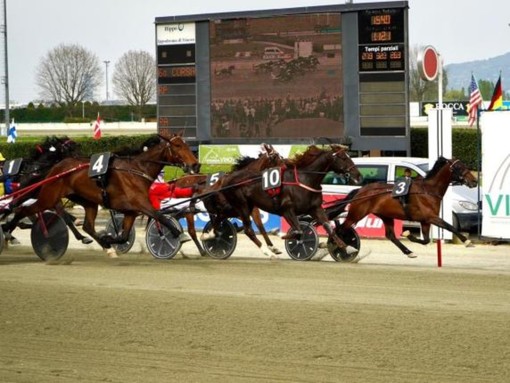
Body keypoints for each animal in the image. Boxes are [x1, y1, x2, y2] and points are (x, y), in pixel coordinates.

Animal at [6, 133, 201, 258]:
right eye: (177, 146)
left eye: (186, 145)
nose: (196, 165)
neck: (137, 170)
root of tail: (56, 168)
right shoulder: (141, 204)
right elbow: (161, 216)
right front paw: (178, 234)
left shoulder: (131, 211)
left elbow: (123, 235)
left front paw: (109, 239)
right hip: (49, 197)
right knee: (23, 210)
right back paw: (8, 229)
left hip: (87, 201)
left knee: (87, 226)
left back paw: (105, 246)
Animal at [220, 146, 362, 260]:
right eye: (343, 158)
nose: (358, 176)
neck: (306, 180)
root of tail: (228, 179)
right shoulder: (287, 209)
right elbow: (298, 231)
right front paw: (282, 235)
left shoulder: (315, 208)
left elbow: (328, 227)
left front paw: (346, 247)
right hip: (241, 205)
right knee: (248, 230)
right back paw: (268, 252)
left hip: (245, 206)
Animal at [336, 156, 480, 258]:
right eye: (459, 167)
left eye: (465, 165)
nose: (474, 181)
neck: (428, 190)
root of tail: (360, 190)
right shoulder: (431, 217)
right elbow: (450, 226)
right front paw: (467, 241)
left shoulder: (425, 221)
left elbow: (426, 240)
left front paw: (408, 234)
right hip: (356, 213)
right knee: (340, 229)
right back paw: (344, 248)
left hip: (385, 215)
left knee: (391, 236)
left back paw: (408, 251)